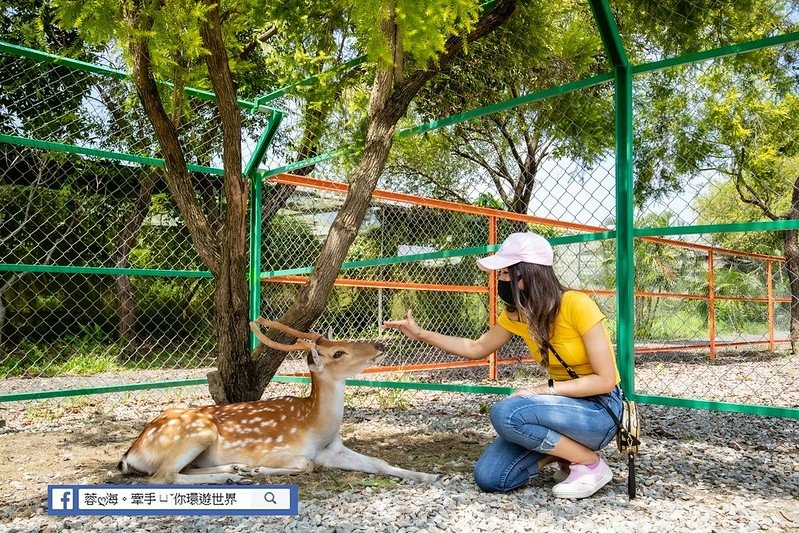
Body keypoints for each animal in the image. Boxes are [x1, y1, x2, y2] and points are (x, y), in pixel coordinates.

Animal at [119, 318, 438, 484]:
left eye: (344, 342)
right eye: (338, 353)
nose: (380, 344)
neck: (315, 428)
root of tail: (130, 454)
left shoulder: (333, 451)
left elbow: (379, 462)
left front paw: (426, 476)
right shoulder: (274, 448)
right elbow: (306, 464)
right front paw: (258, 469)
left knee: (178, 471)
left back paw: (233, 471)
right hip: (196, 432)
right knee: (163, 476)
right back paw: (234, 476)